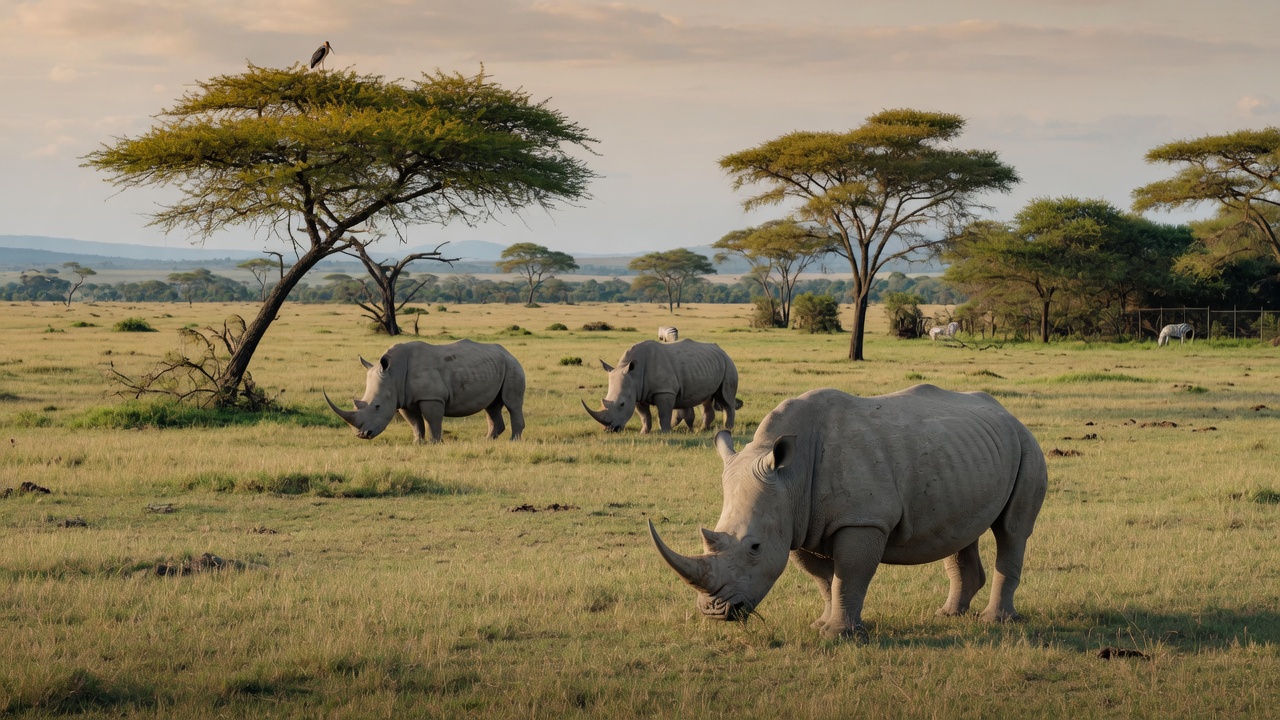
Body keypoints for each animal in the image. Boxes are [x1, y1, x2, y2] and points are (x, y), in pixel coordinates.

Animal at [325, 340, 525, 443]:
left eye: (377, 406)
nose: (362, 435)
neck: (394, 373)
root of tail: (508, 352)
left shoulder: (432, 397)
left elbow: (432, 421)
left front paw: (435, 443)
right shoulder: (403, 399)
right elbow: (415, 423)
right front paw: (417, 443)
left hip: (513, 366)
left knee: (512, 404)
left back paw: (513, 441)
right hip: (496, 366)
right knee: (491, 406)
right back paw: (487, 440)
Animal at [582, 339, 738, 433]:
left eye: (622, 404)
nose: (609, 429)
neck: (633, 374)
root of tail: (722, 350)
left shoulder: (665, 392)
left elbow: (663, 413)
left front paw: (664, 432)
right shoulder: (637, 392)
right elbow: (644, 415)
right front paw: (644, 433)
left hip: (728, 364)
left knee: (726, 399)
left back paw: (728, 429)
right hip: (708, 364)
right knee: (706, 400)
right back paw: (703, 430)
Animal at [649, 384, 1047, 640]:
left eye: (755, 548)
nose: (714, 613)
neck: (790, 476)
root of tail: (1008, 414)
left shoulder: (862, 520)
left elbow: (850, 574)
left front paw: (840, 635)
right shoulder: (799, 522)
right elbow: (826, 580)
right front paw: (823, 626)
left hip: (1027, 445)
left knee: (1012, 531)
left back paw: (996, 622)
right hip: (965, 456)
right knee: (960, 532)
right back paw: (949, 615)